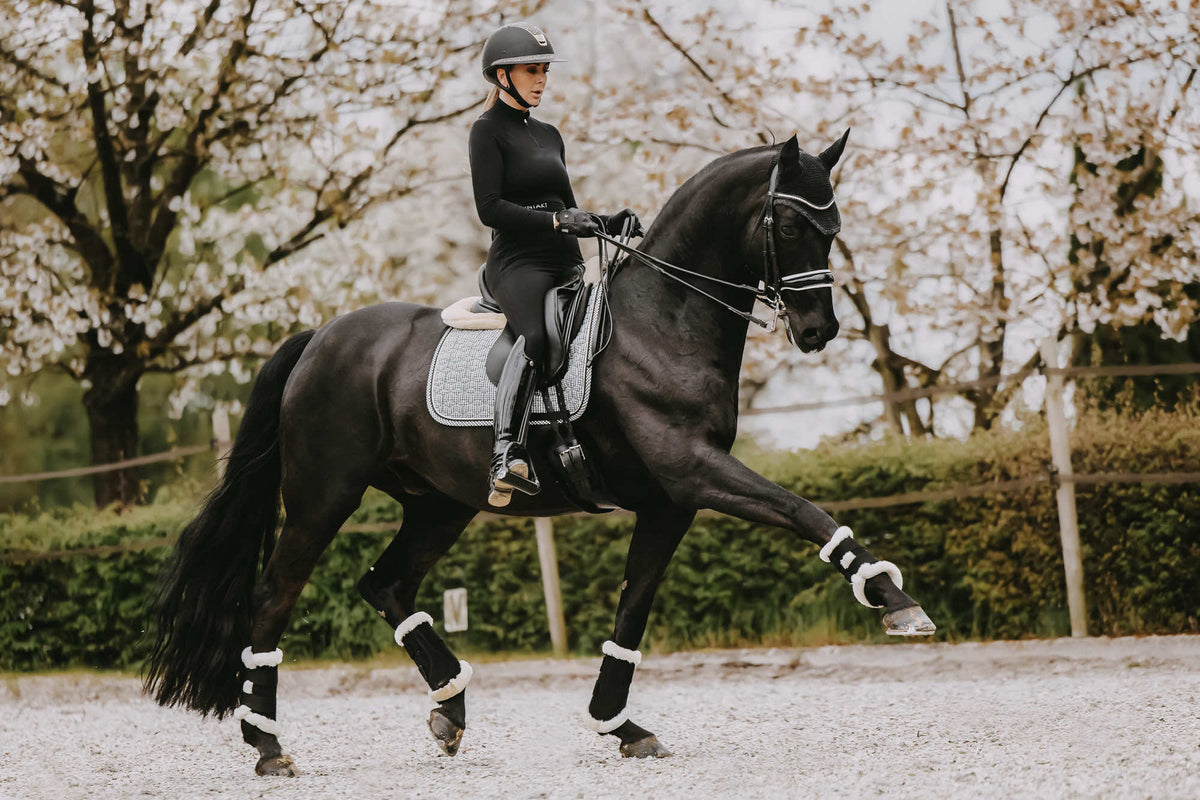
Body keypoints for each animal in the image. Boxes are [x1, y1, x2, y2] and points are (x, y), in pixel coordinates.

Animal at [144, 131, 936, 776]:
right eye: (793, 223)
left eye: (834, 225)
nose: (819, 330)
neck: (664, 321)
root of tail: (320, 339)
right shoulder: (694, 470)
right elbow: (804, 511)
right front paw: (896, 601)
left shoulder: (671, 501)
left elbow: (632, 610)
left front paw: (620, 726)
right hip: (322, 498)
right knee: (274, 597)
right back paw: (268, 745)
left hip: (440, 504)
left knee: (385, 584)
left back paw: (450, 709)